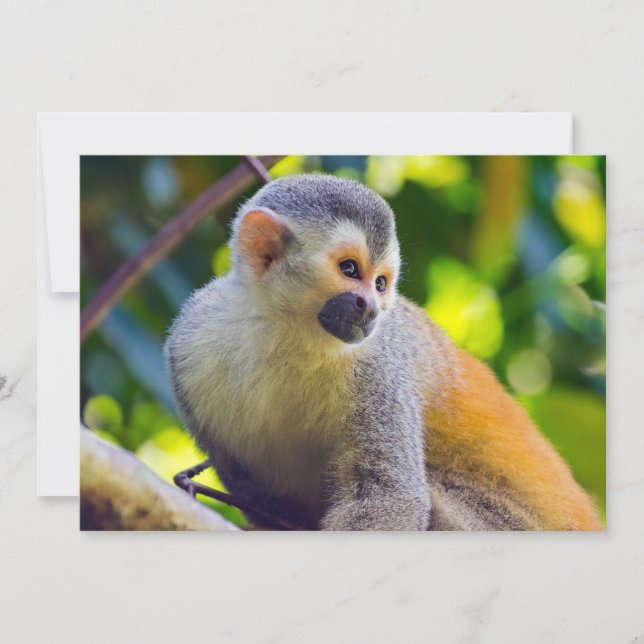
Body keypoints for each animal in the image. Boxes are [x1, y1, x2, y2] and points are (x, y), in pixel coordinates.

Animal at [165, 173, 602, 531]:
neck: (285, 331)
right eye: (350, 270)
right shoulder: (188, 343)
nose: (372, 308)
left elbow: (388, 495)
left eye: (380, 283)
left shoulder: (377, 367)